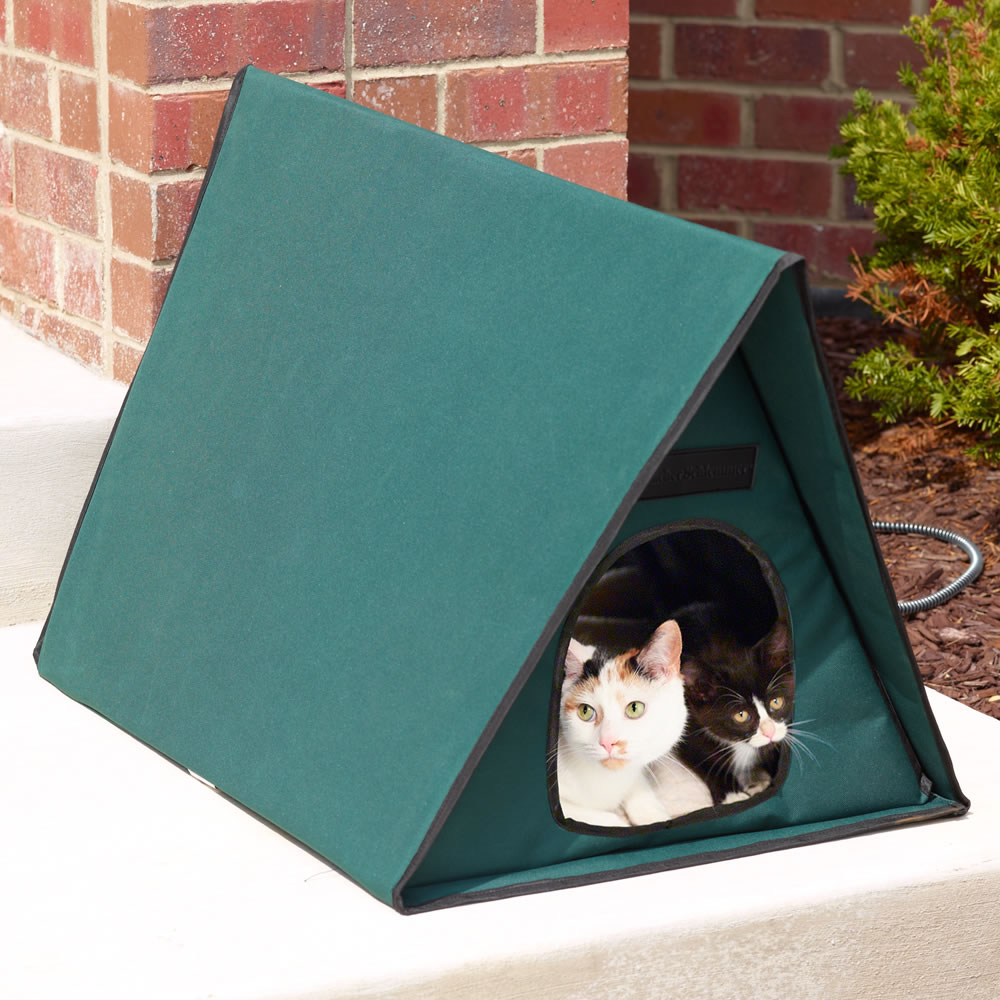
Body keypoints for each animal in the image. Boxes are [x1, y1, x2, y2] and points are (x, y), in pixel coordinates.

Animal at [672, 600, 796, 804]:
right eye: (741, 715)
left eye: (776, 702)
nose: (769, 732)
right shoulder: (685, 728)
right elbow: (703, 761)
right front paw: (731, 795)